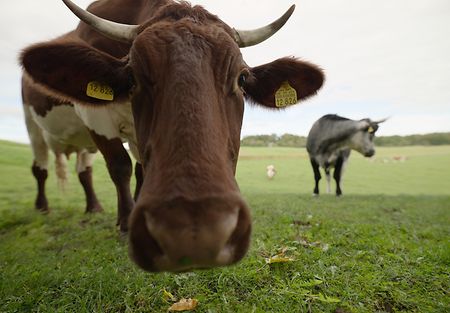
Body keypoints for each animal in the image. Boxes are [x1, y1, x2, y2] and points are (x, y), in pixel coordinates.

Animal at [20, 0, 324, 270]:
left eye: (241, 79)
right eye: (132, 78)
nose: (194, 233)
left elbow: (141, 171)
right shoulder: (96, 119)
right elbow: (120, 166)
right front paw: (126, 223)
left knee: (84, 170)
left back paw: (93, 208)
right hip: (32, 125)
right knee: (40, 168)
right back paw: (43, 207)